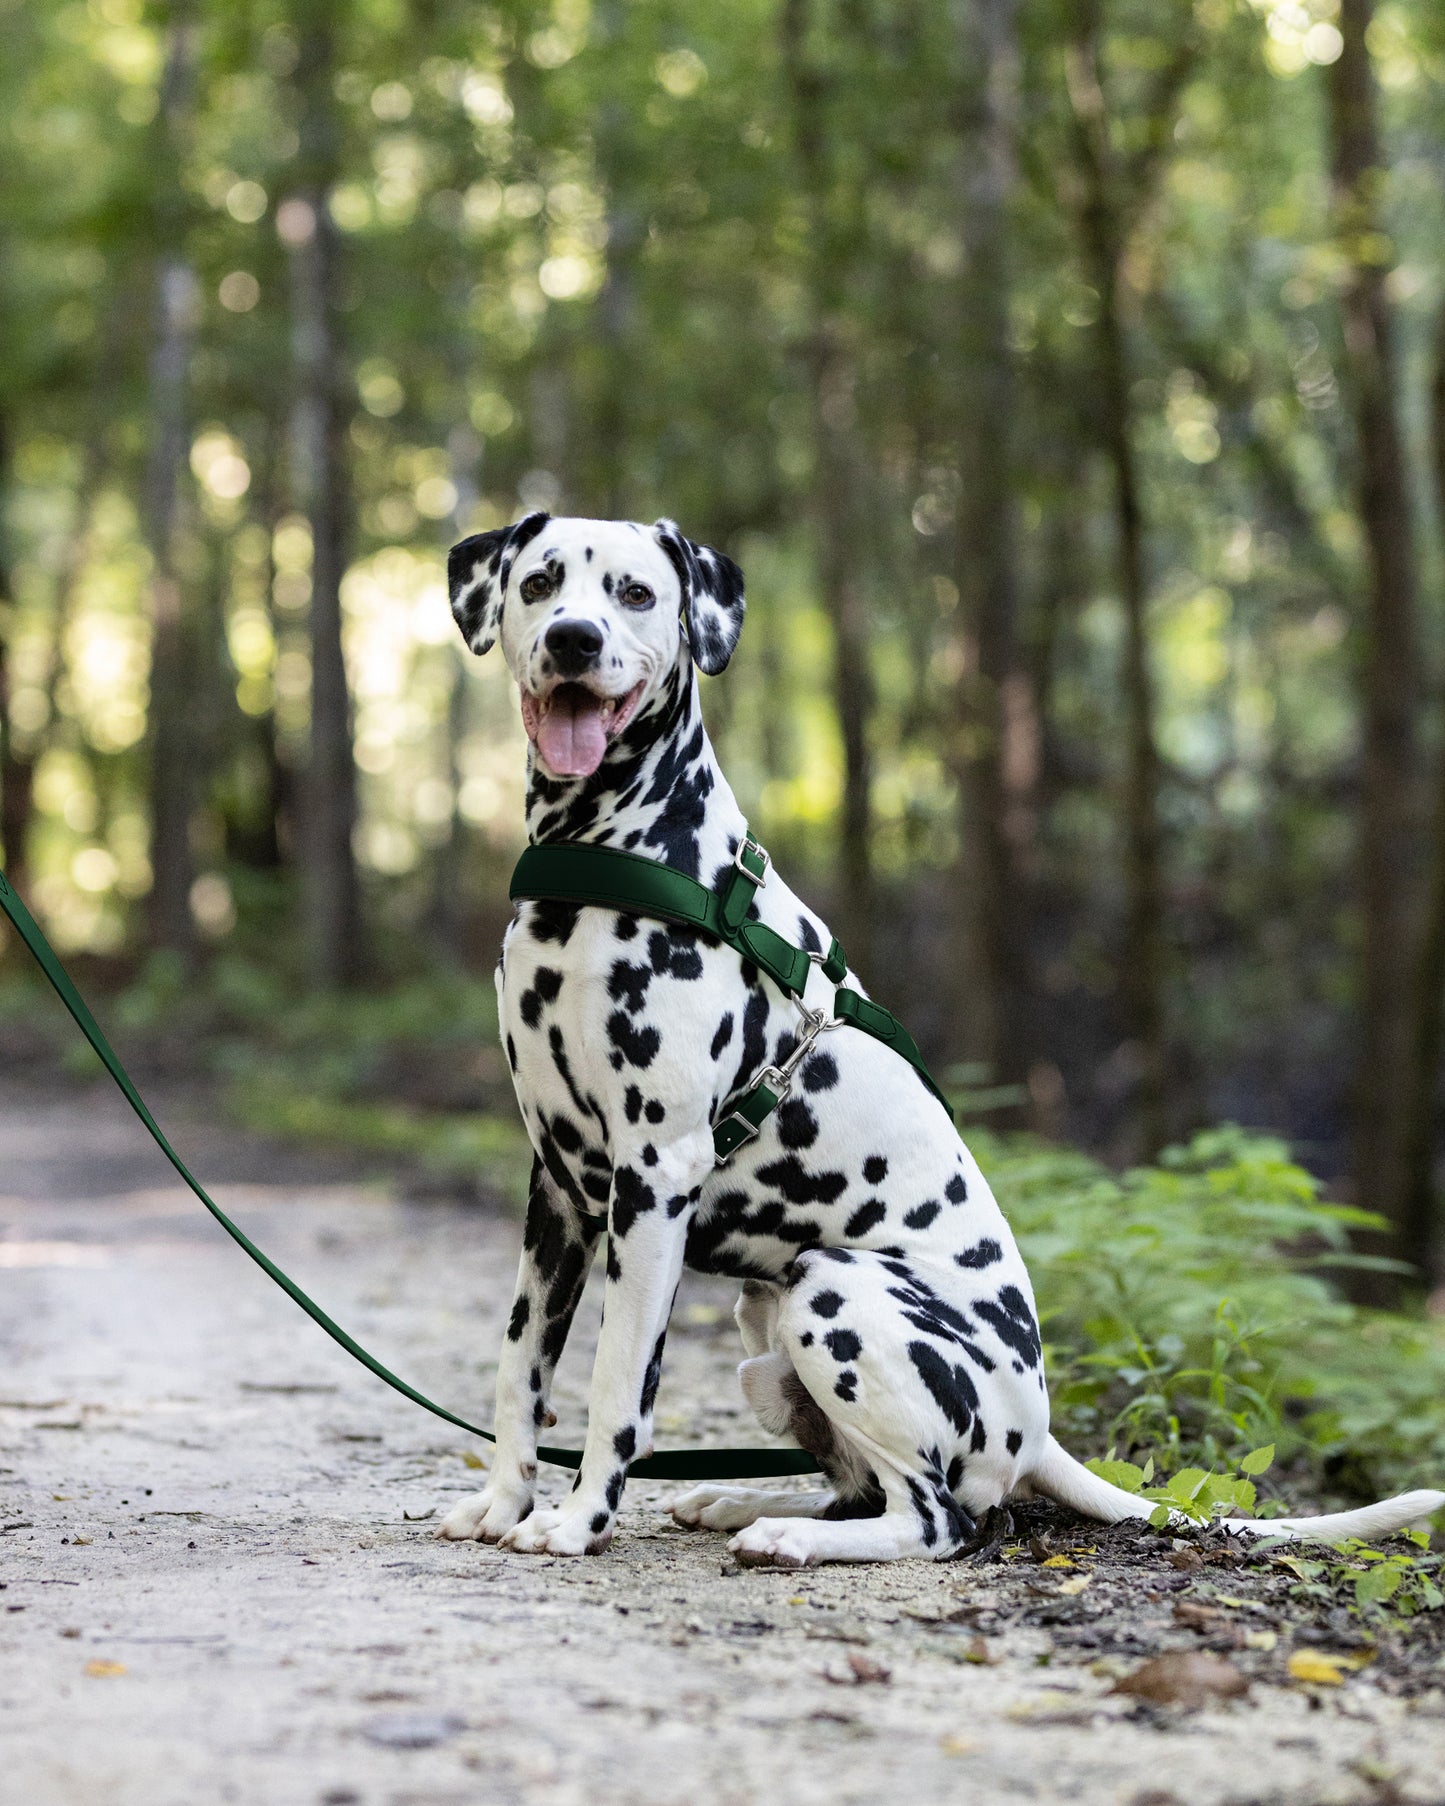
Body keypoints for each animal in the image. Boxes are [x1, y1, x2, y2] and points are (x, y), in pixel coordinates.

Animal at [435, 512, 1445, 1567]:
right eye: (541, 582)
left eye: (634, 594)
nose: (572, 641)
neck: (609, 859)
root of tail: (1039, 1431)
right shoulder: (558, 1187)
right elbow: (519, 1367)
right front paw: (502, 1502)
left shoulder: (653, 1178)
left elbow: (616, 1383)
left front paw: (577, 1519)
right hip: (766, 1324)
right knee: (857, 1490)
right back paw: (745, 1504)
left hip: (832, 1290)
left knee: (935, 1520)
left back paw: (787, 1535)